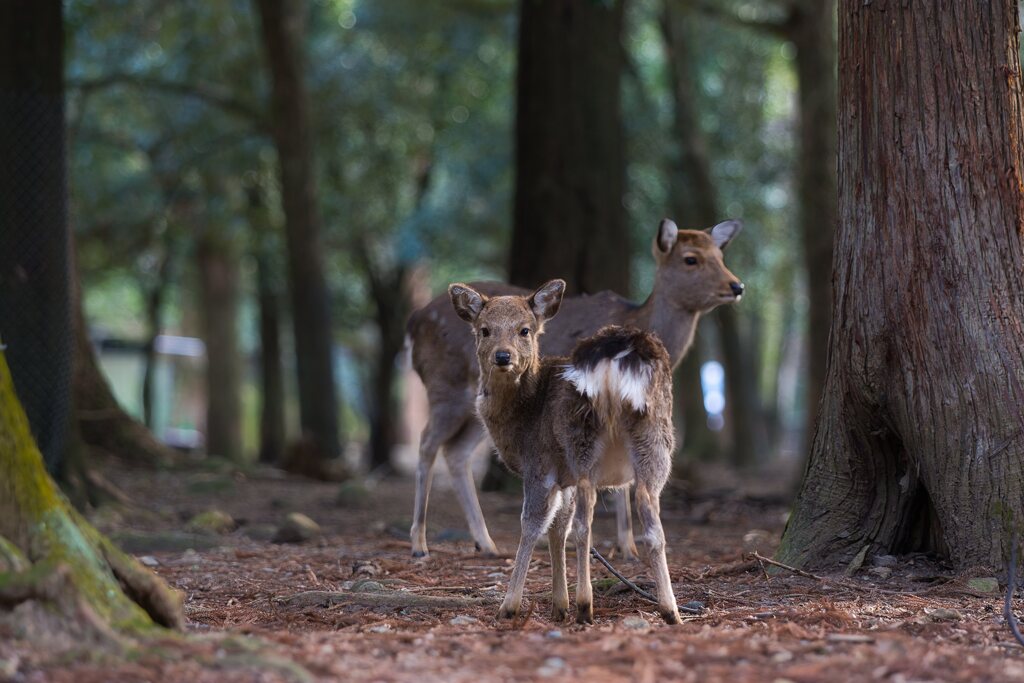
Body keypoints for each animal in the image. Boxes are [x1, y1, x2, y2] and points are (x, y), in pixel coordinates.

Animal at [405, 218, 745, 557]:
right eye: (691, 259)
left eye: (721, 255)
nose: (737, 286)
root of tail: (414, 324)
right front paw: (625, 547)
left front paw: (624, 546)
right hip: (445, 386)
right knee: (427, 443)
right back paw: (420, 543)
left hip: (475, 403)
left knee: (456, 452)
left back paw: (486, 543)